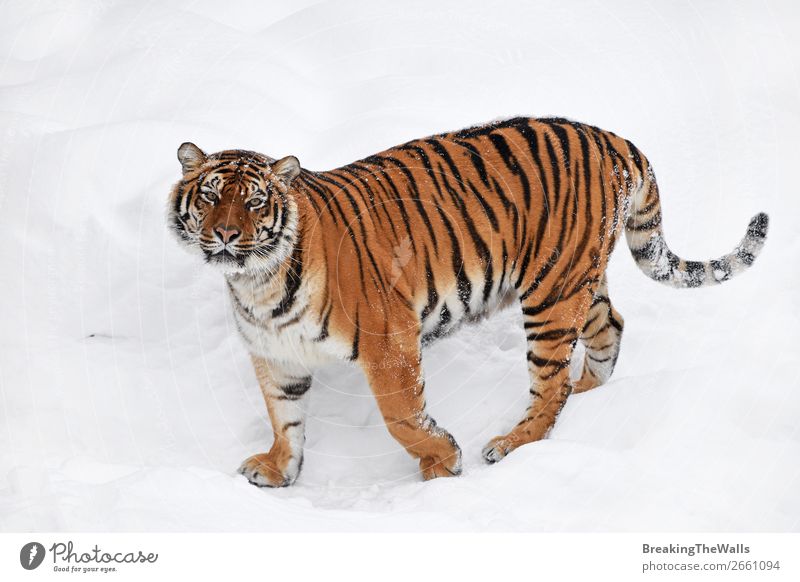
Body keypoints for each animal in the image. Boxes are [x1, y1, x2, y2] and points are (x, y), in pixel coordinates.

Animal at [167, 115, 768, 488]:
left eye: (254, 202)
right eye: (211, 196)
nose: (225, 234)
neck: (256, 282)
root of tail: (616, 141)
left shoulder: (390, 343)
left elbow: (401, 417)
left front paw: (443, 463)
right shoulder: (276, 357)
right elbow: (283, 419)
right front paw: (279, 471)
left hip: (550, 295)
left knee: (550, 384)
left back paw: (511, 444)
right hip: (579, 279)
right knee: (610, 327)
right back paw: (590, 397)